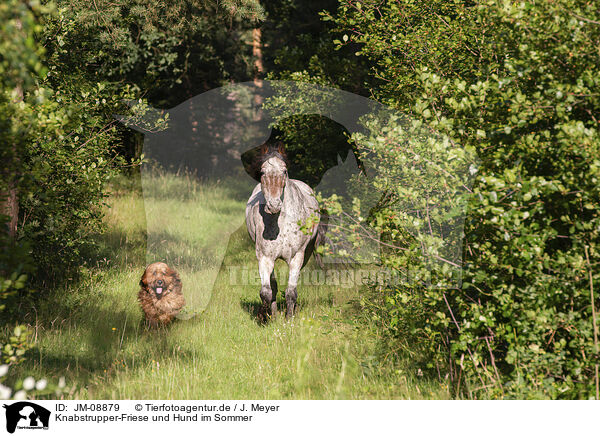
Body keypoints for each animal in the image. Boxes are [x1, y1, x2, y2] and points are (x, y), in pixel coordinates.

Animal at [245, 143, 324, 320]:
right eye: (262, 172)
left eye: (285, 171)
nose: (274, 205)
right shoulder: (265, 257)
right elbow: (266, 292)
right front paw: (266, 317)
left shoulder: (296, 257)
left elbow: (291, 292)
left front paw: (289, 319)